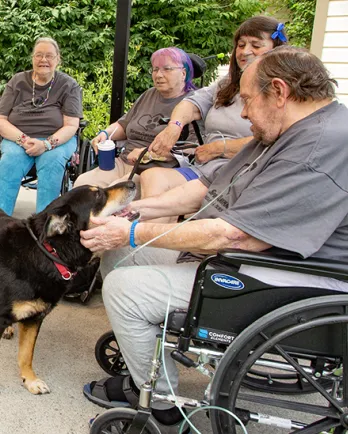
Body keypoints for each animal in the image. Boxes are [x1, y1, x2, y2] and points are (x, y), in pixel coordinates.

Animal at [0, 180, 136, 394]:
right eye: (98, 195)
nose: (132, 183)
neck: (49, 252)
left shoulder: (35, 317)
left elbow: (26, 354)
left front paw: (30, 380)